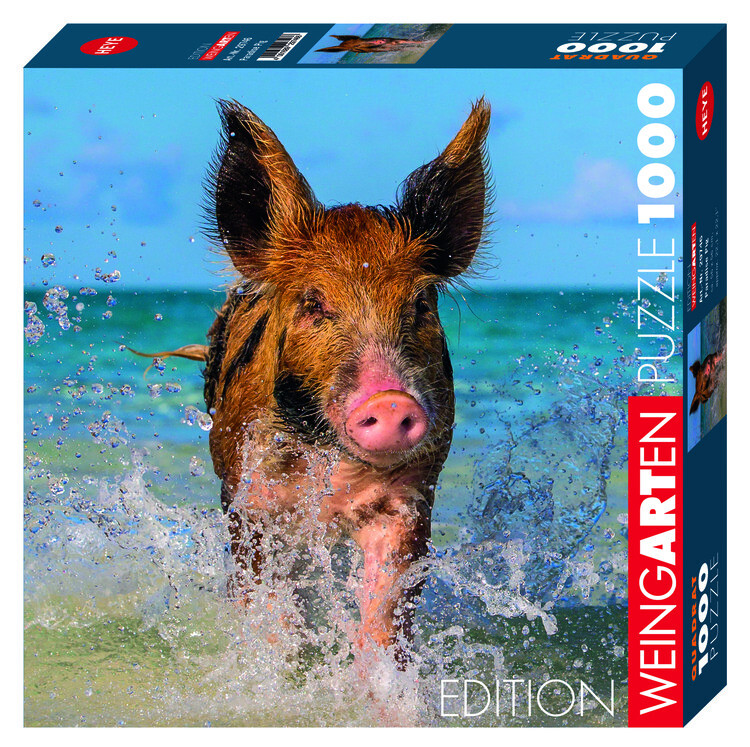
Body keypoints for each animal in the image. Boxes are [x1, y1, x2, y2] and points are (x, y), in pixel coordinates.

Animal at [138, 98, 491, 665]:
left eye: (420, 302)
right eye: (313, 303)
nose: (390, 400)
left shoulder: (410, 498)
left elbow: (385, 617)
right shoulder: (253, 500)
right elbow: (270, 608)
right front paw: (278, 668)